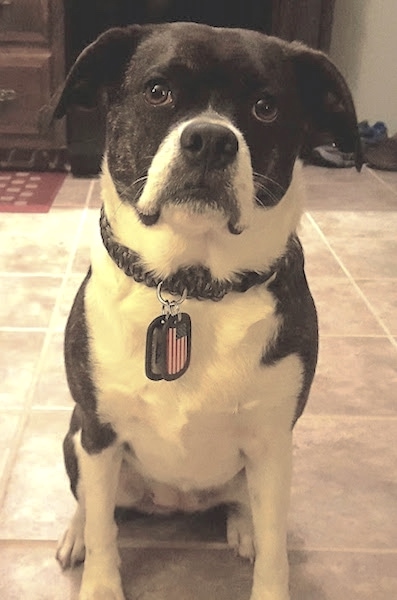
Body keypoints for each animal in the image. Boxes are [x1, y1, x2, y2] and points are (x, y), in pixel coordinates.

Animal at [50, 21, 362, 600]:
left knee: (246, 505)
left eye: (265, 107)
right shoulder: (99, 429)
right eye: (157, 91)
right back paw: (76, 533)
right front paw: (99, 580)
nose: (212, 140)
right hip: (75, 436)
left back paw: (243, 526)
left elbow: (276, 553)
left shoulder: (271, 442)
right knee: (93, 502)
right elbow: (104, 530)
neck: (192, 287)